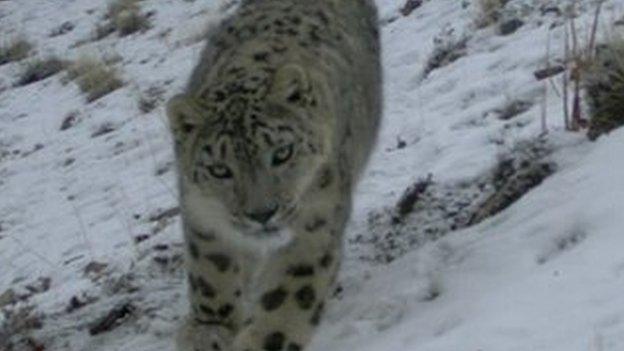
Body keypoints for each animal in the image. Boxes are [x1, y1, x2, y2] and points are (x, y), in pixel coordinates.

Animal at [167, 1, 380, 350]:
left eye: (282, 152)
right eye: (219, 169)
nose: (262, 214)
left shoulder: (315, 228)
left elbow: (282, 311)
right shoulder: (203, 218)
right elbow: (212, 275)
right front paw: (210, 331)